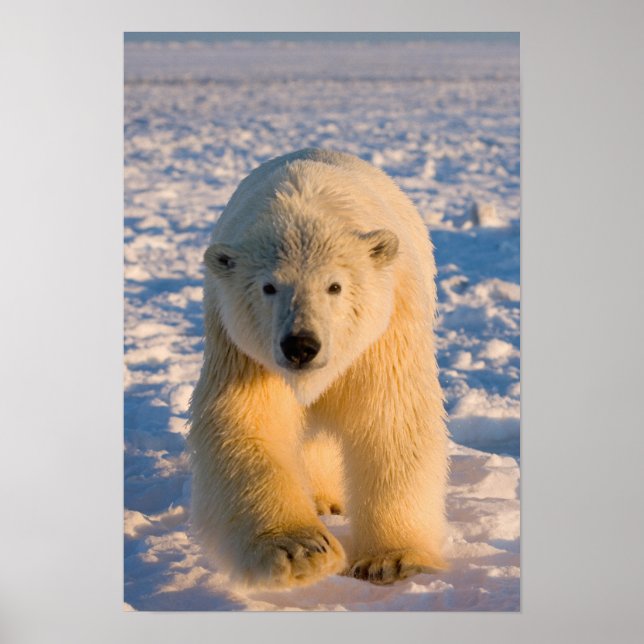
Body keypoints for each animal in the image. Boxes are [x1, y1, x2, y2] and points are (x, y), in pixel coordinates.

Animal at [188, 148, 448, 588]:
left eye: (335, 286)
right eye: (269, 286)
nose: (301, 346)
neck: (306, 206)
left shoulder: (383, 335)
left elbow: (392, 421)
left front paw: (393, 560)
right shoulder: (241, 348)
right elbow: (247, 421)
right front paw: (302, 552)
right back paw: (322, 500)